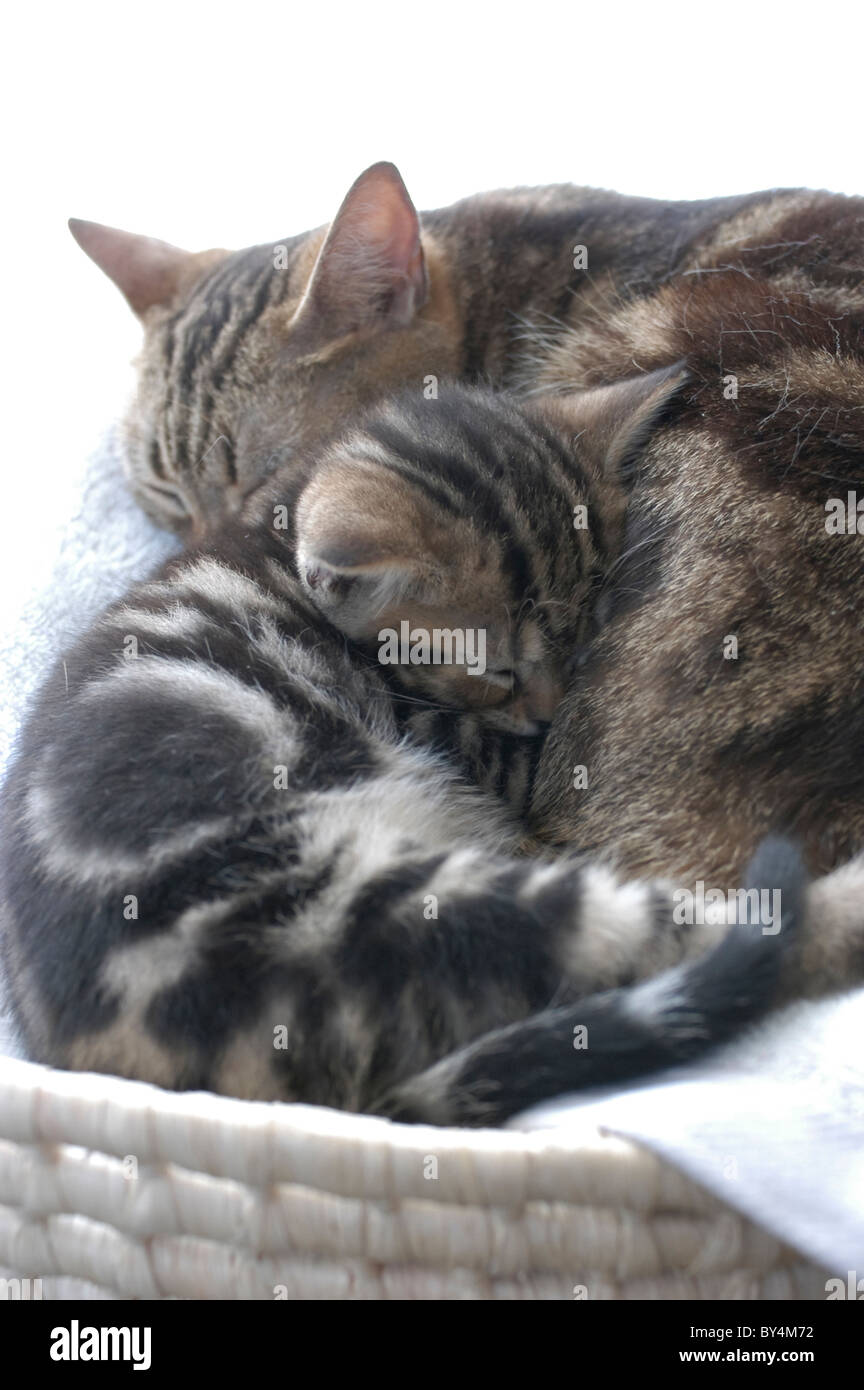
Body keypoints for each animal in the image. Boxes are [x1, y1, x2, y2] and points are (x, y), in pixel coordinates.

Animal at [0, 380, 838, 1128]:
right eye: (499, 669)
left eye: (583, 634)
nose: (549, 711)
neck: (277, 538)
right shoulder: (455, 735)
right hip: (362, 909)